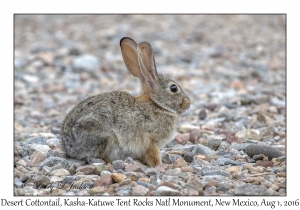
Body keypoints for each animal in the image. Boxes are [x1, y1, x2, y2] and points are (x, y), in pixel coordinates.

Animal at [60, 37, 190, 167]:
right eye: (174, 88)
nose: (188, 103)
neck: (157, 104)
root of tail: (69, 147)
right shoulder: (151, 141)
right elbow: (154, 156)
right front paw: (161, 165)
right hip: (104, 135)